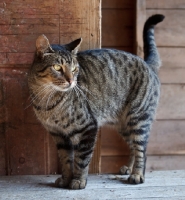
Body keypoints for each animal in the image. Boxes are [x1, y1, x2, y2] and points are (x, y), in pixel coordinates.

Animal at [27, 14, 165, 189]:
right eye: (57, 68)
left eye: (74, 69)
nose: (71, 81)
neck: (48, 99)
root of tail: (147, 64)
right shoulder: (59, 135)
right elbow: (65, 160)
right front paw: (66, 178)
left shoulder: (88, 128)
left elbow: (81, 160)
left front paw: (78, 180)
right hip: (125, 126)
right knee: (133, 146)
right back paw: (128, 168)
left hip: (138, 118)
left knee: (142, 150)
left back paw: (137, 174)